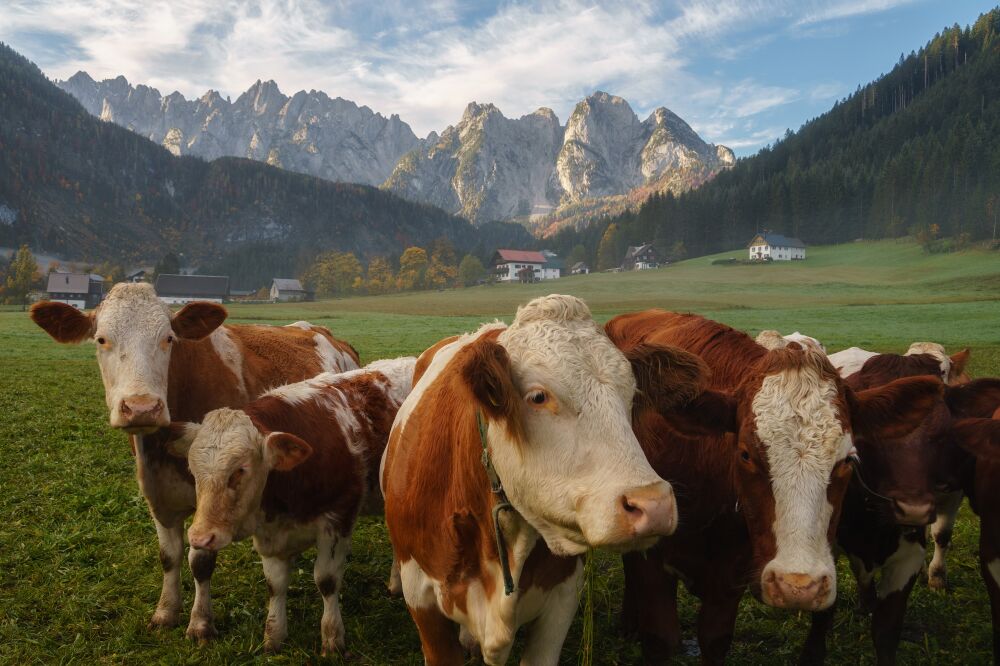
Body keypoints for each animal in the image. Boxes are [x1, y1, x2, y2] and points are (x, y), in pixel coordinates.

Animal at [27, 282, 360, 640]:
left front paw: (200, 623)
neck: (161, 449)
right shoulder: (158, 496)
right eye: (101, 339)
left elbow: (200, 562)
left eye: (169, 338)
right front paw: (165, 611)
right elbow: (168, 556)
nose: (142, 407)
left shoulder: (212, 495)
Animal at [165, 358, 414, 652]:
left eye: (240, 470)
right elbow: (275, 584)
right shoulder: (271, 533)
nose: (200, 537)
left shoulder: (338, 517)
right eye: (192, 471)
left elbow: (327, 580)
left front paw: (332, 638)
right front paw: (274, 636)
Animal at [600, 312, 944, 664]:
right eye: (745, 454)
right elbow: (658, 637)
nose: (799, 586)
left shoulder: (731, 575)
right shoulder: (651, 562)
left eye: (848, 459)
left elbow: (714, 639)